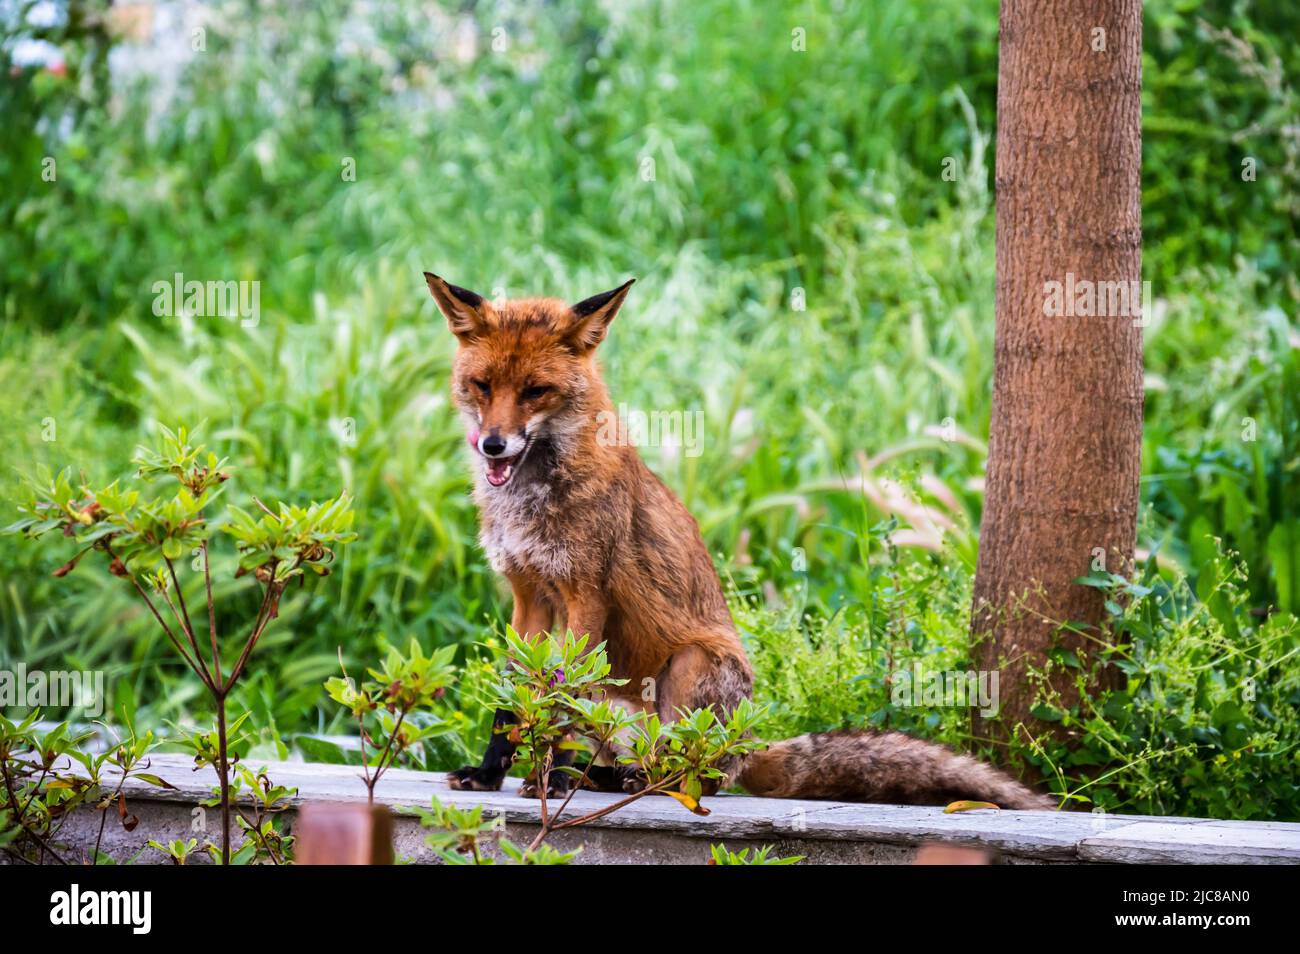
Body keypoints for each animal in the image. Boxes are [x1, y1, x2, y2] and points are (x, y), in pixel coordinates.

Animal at [424, 271, 1053, 811]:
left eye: (536, 391)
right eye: (482, 386)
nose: (494, 446)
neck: (528, 501)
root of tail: (742, 744)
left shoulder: (585, 596)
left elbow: (557, 701)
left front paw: (547, 779)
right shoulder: (528, 595)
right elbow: (514, 700)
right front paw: (491, 773)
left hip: (691, 666)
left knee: (692, 776)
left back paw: (621, 779)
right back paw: (598, 776)